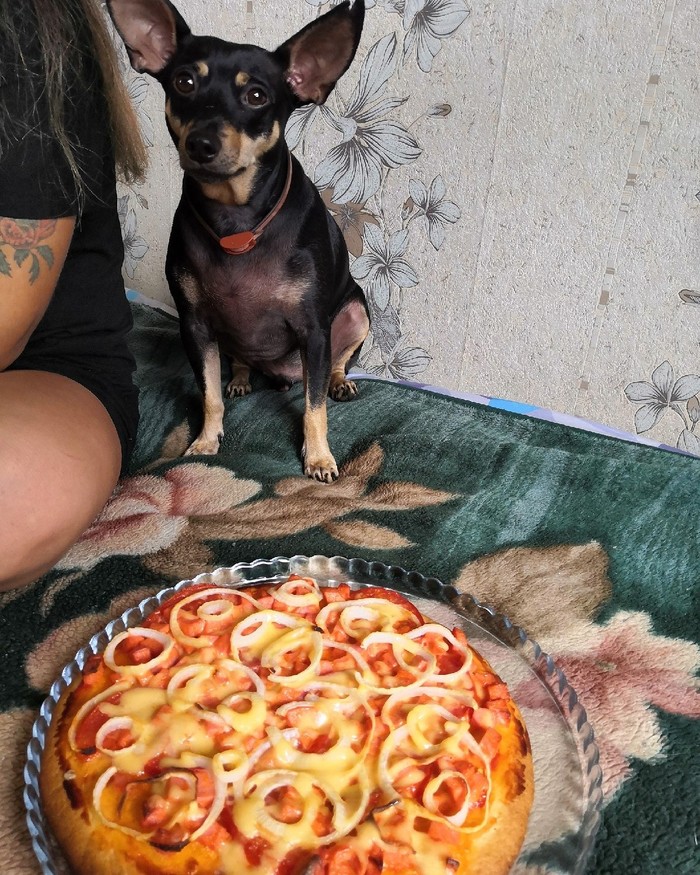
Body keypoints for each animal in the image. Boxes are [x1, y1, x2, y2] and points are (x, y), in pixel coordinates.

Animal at [106, 0, 370, 480]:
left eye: (257, 97)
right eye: (184, 82)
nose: (201, 143)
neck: (237, 220)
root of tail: (283, 373)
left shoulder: (314, 329)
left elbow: (314, 407)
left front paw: (318, 457)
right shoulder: (195, 326)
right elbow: (208, 394)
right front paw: (205, 440)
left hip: (356, 312)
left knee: (335, 367)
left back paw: (339, 382)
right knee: (242, 360)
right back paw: (243, 378)